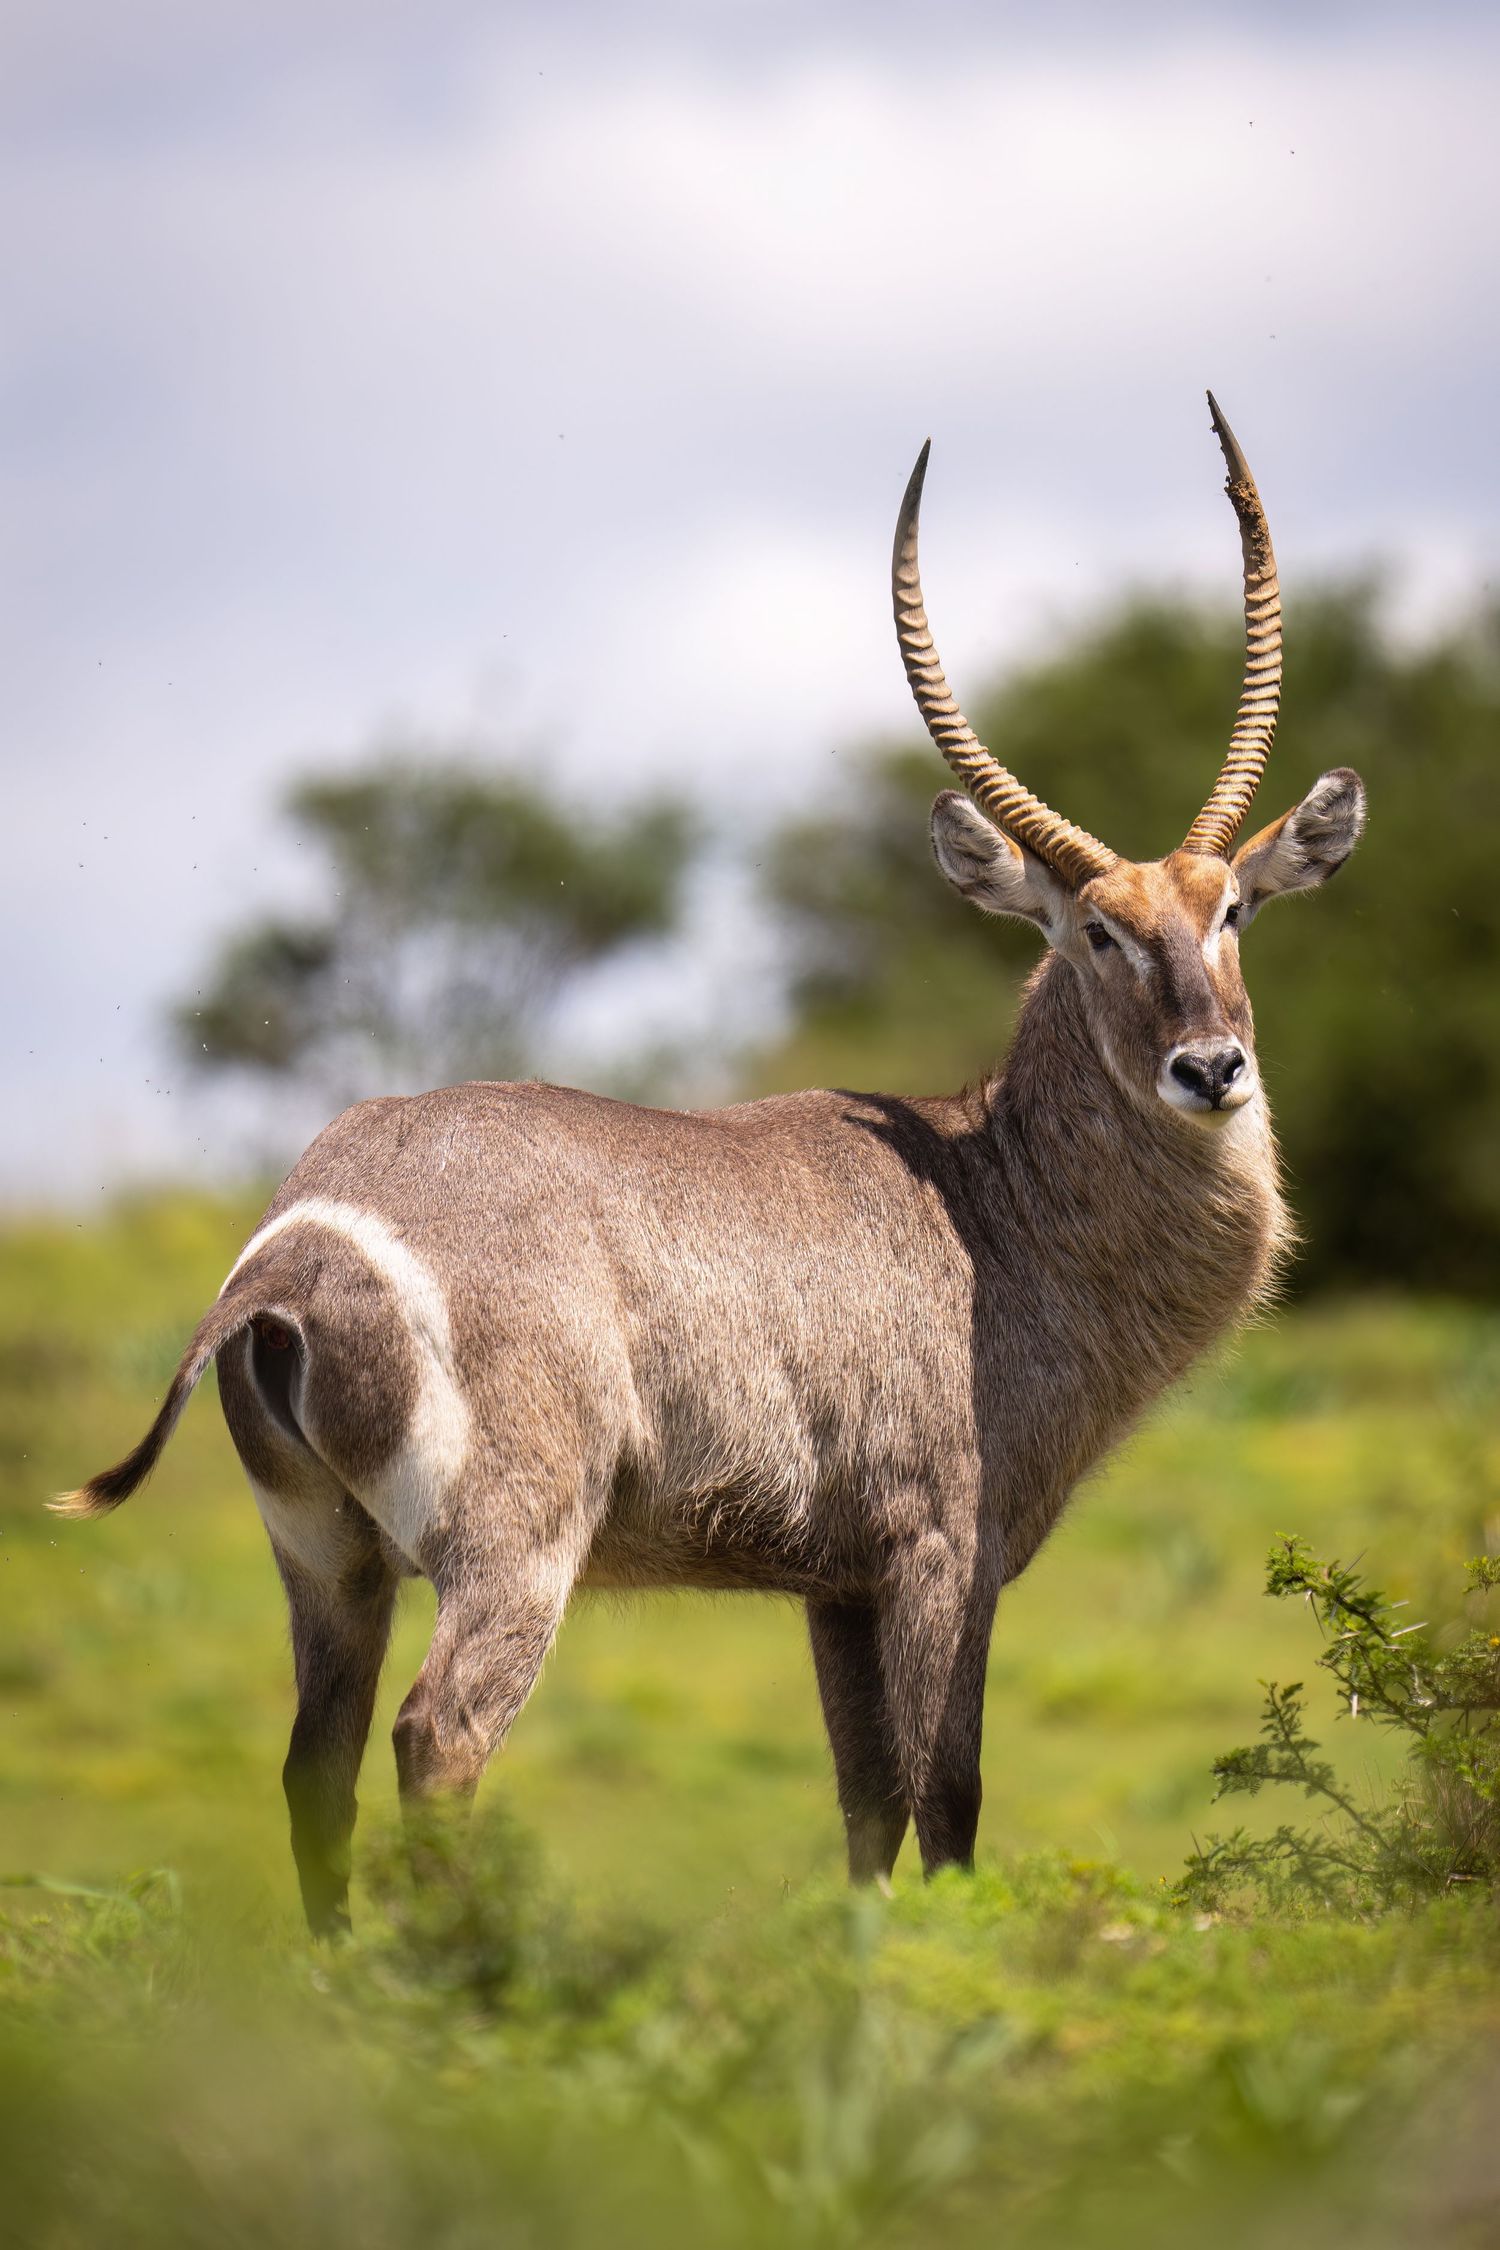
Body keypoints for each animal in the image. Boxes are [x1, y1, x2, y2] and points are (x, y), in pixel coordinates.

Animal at [57, 398, 1366, 1934]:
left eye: (1233, 912)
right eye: (1094, 929)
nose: (1210, 1069)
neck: (992, 1197)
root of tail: (295, 1245)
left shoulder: (834, 1584)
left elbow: (865, 1802)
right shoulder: (941, 1549)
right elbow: (950, 1797)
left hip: (325, 1559)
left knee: (314, 1767)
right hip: (511, 1546)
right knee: (439, 1739)